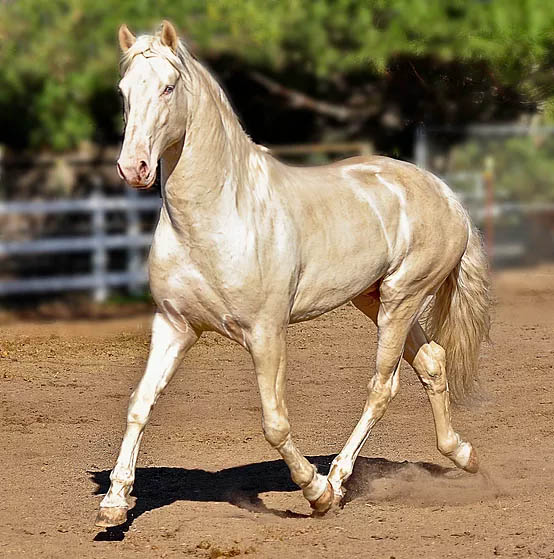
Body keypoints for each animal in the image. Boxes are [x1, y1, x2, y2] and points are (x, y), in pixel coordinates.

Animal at [94, 21, 488, 528]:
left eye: (168, 87)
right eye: (124, 91)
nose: (133, 167)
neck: (216, 217)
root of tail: (445, 193)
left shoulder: (266, 332)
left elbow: (275, 422)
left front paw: (316, 492)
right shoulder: (174, 326)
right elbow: (140, 404)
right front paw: (114, 503)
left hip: (401, 299)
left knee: (383, 386)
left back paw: (338, 479)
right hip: (372, 297)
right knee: (433, 362)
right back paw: (462, 454)